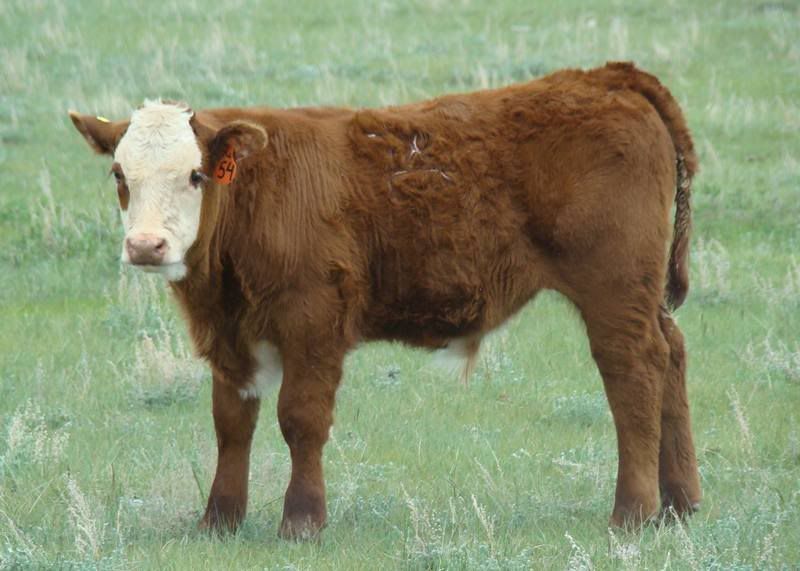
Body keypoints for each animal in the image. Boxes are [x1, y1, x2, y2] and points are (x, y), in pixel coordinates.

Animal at [69, 62, 701, 538]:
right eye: (120, 175)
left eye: (196, 175)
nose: (146, 245)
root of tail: (604, 77)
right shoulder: (230, 331)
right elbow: (231, 422)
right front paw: (219, 521)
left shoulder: (313, 320)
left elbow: (300, 418)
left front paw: (302, 521)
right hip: (643, 294)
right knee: (671, 353)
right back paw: (680, 503)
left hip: (614, 288)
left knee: (633, 370)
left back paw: (634, 511)